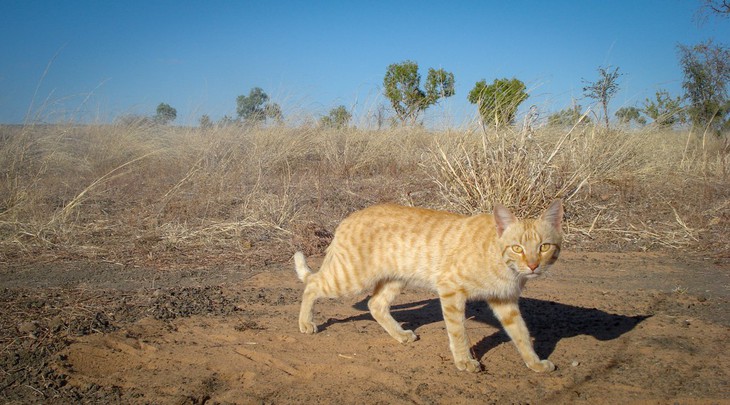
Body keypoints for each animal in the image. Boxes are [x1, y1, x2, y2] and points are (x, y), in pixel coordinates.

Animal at [292, 199, 564, 372]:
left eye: (544, 247)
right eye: (517, 248)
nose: (532, 265)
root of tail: (348, 217)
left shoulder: (505, 302)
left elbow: (521, 334)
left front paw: (535, 363)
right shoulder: (451, 290)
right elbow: (458, 332)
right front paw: (464, 362)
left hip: (394, 279)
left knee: (375, 304)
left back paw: (400, 335)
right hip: (350, 278)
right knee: (312, 284)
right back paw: (305, 323)